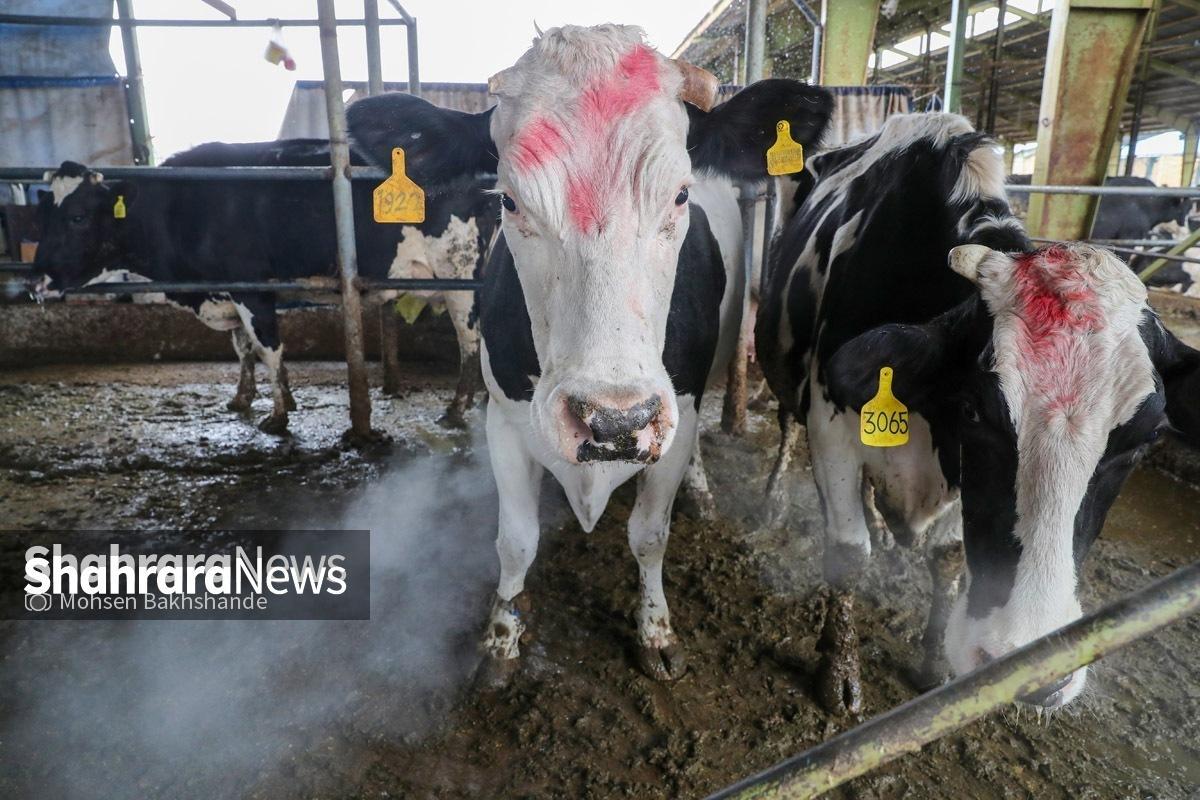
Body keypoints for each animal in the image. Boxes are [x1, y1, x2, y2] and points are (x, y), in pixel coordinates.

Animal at [30, 140, 496, 434]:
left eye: (76, 217)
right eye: (44, 215)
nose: (36, 280)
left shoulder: (252, 289)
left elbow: (268, 348)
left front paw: (278, 415)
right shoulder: (229, 290)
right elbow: (243, 348)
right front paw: (246, 397)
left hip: (460, 276)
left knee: (469, 341)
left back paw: (457, 408)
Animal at [348, 26, 835, 690]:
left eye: (680, 195)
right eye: (509, 202)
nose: (613, 419)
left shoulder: (673, 414)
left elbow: (650, 535)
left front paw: (656, 631)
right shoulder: (504, 419)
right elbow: (515, 540)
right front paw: (501, 638)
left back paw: (701, 492)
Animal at [758, 110, 1200, 714]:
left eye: (1146, 439)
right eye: (973, 410)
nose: (1035, 672)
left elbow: (947, 559)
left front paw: (933, 667)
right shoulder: (831, 424)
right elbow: (847, 551)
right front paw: (838, 673)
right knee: (784, 425)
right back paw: (774, 501)